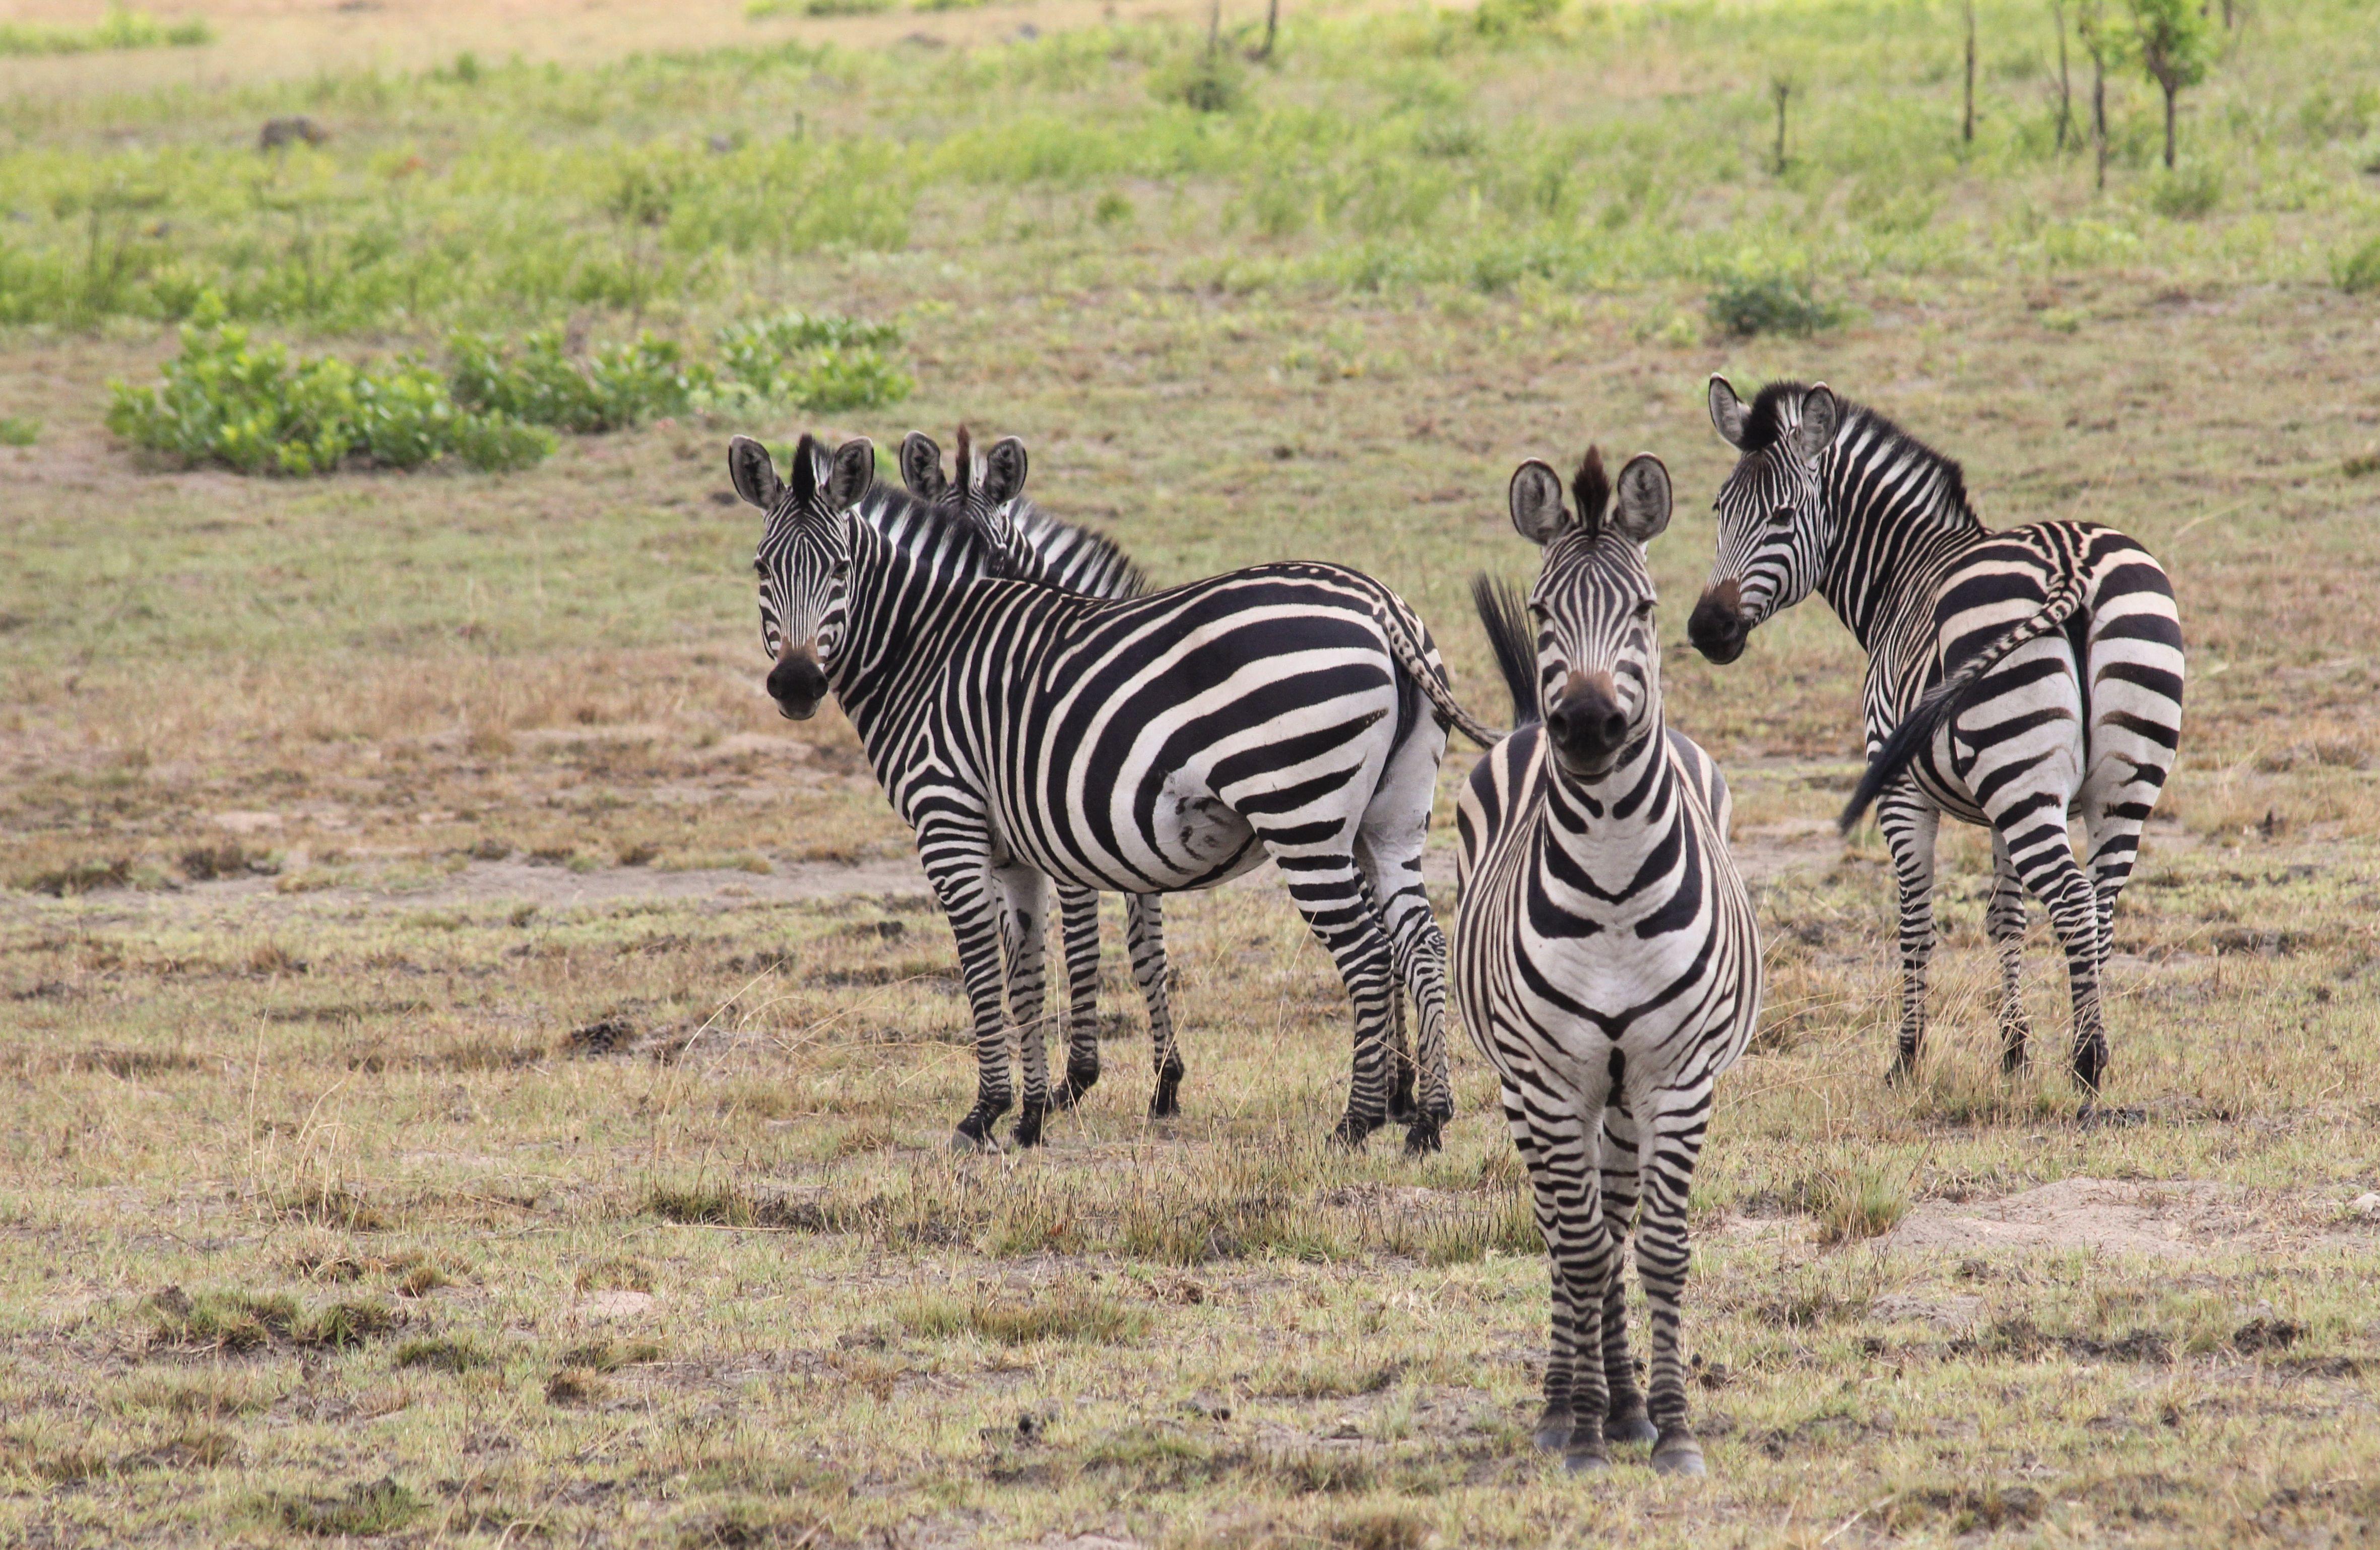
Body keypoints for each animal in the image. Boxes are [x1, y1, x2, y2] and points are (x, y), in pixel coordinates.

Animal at [733, 424, 1495, 1152]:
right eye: (762, 568)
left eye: (839, 569)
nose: (796, 686)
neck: (926, 648)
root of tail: (1378, 602)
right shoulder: (1019, 846)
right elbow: (1028, 971)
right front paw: (1032, 1117)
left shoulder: (950, 820)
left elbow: (989, 963)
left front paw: (988, 1112)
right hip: (1388, 820)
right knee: (1421, 944)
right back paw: (1428, 1118)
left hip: (1301, 815)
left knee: (1367, 953)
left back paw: (1357, 1122)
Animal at [1447, 442, 1770, 1476]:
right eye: (1543, 609)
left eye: (1642, 610)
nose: (1587, 728)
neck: (1617, 885)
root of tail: (1520, 723)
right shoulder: (1552, 1081)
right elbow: (1581, 1249)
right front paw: (1580, 1432)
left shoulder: (1677, 1077)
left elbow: (1655, 1246)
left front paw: (1670, 1426)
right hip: (1530, 1086)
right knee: (1563, 1230)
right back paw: (1566, 1404)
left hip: (1622, 1096)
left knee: (1614, 1214)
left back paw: (1628, 1403)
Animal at [1694, 376, 2180, 1105]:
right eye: (1720, 509)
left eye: (1781, 516)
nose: (1706, 629)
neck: (1902, 574)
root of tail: (2069, 560)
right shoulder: (1999, 808)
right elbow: (2005, 916)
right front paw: (2012, 1053)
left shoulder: (1899, 790)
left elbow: (1915, 924)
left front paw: (1905, 1059)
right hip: (2109, 779)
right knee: (2099, 906)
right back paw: (2092, 1050)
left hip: (2023, 772)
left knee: (2070, 900)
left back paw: (2086, 1063)